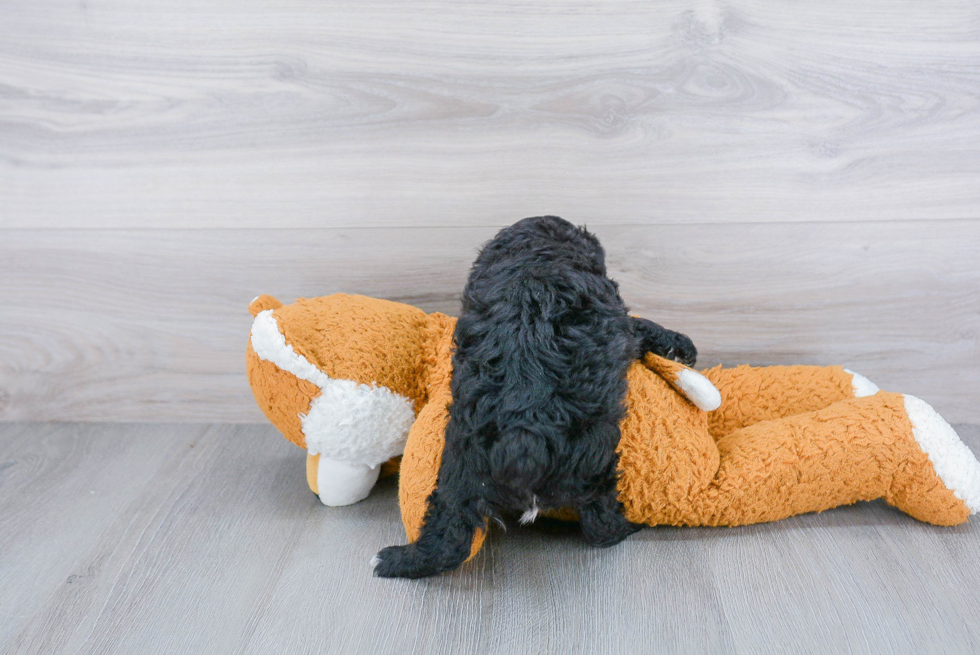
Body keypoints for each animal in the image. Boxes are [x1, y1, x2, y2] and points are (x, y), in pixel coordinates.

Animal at [370, 217, 696, 580]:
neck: (537, 255)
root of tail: (523, 438)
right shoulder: (620, 319)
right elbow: (639, 326)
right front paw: (678, 344)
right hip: (594, 459)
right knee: (601, 523)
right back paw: (629, 525)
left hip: (460, 463)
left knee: (449, 532)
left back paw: (397, 559)